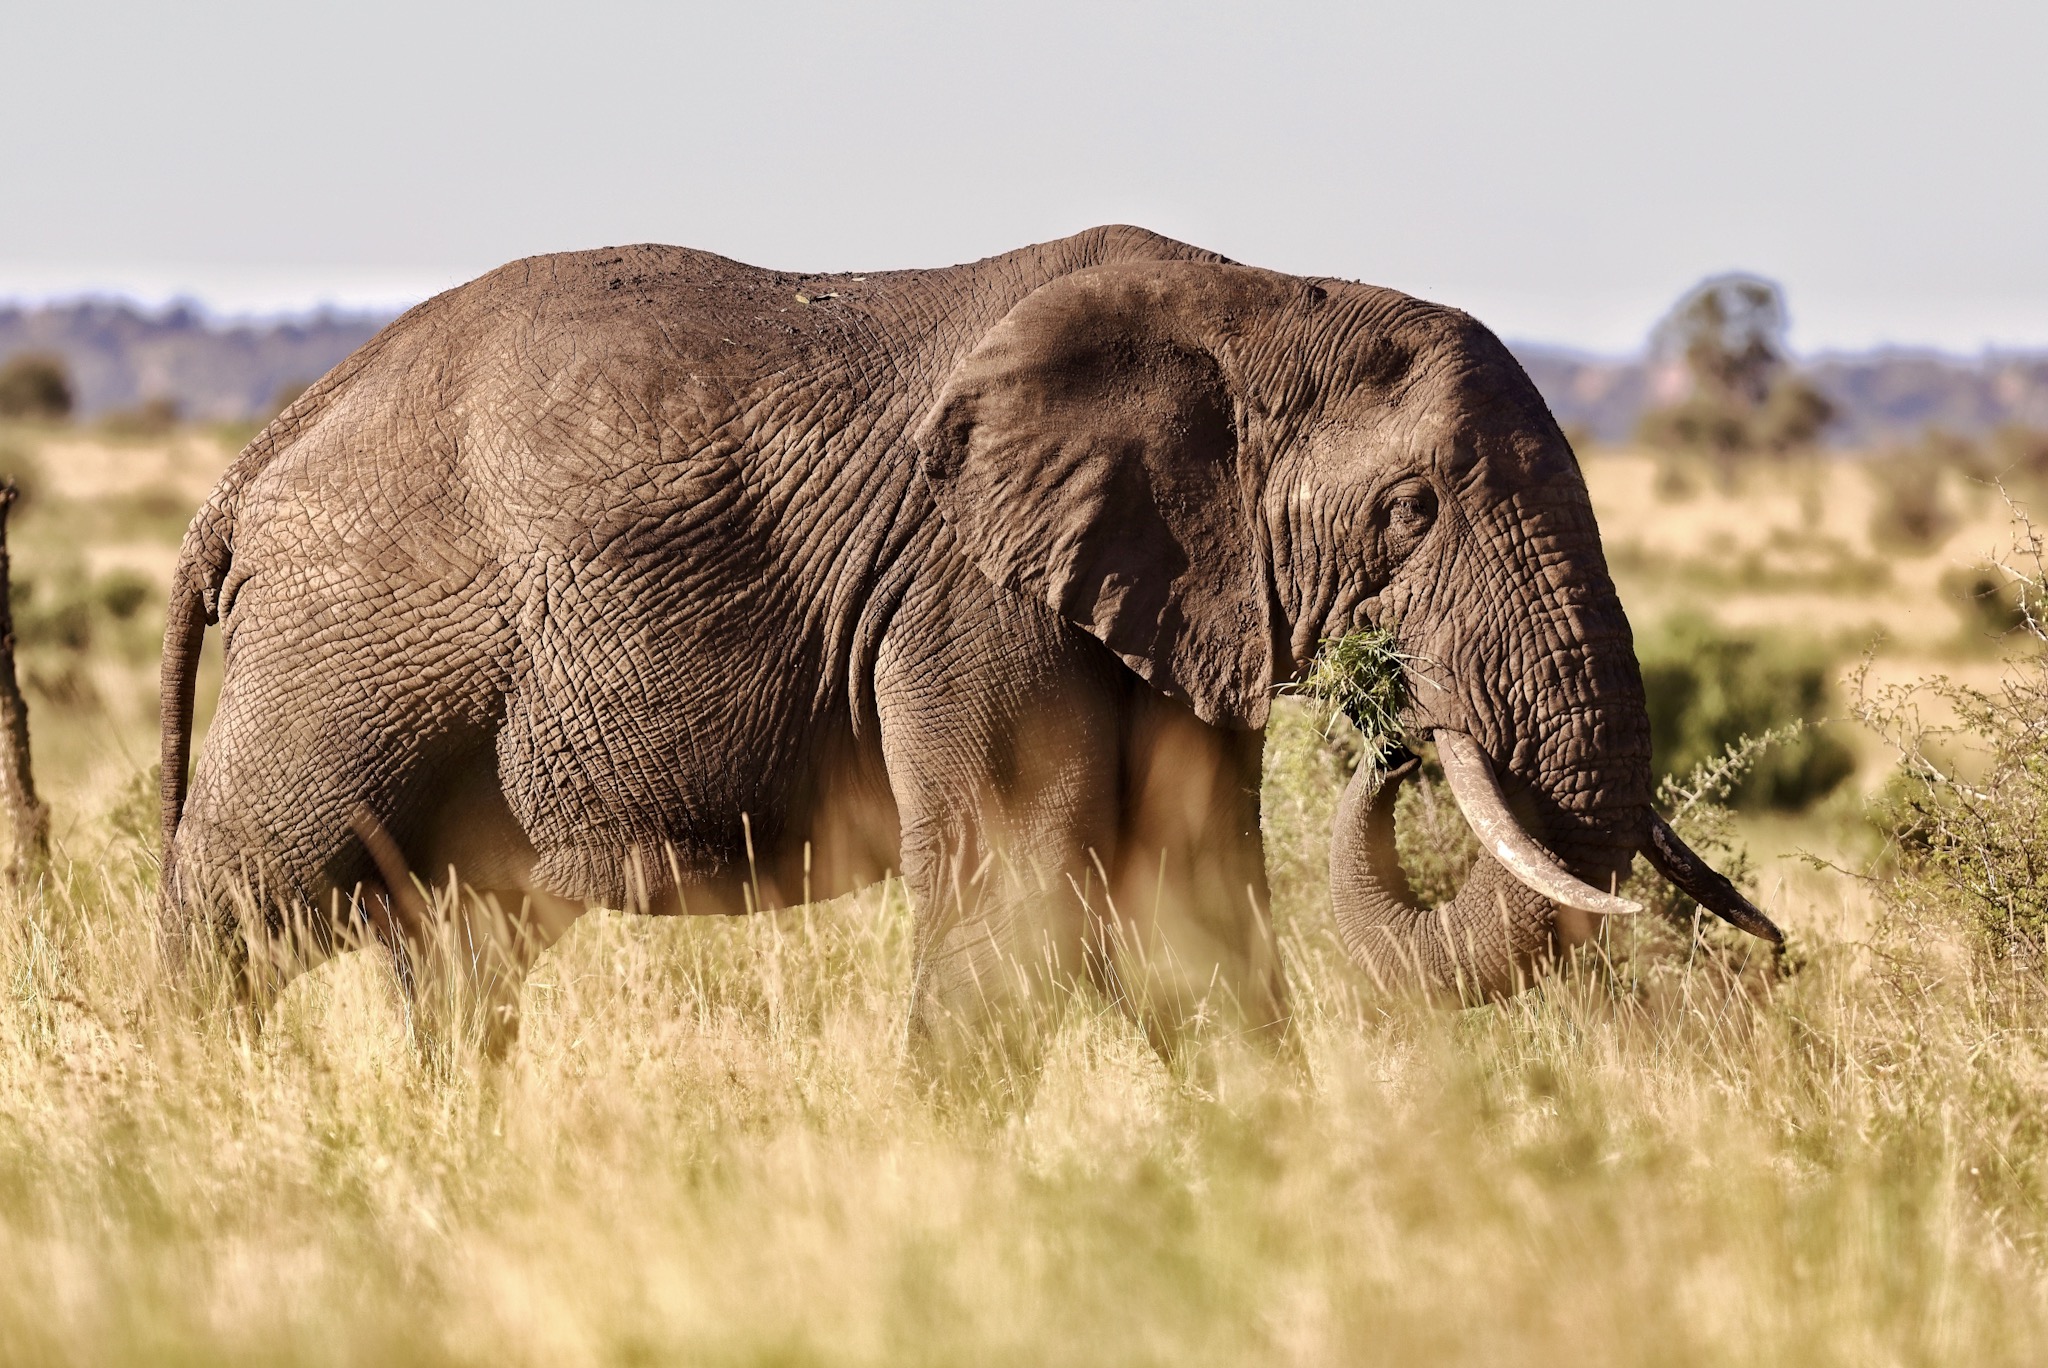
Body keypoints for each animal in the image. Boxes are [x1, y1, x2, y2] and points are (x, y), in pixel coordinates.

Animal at [158, 224, 1776, 1058]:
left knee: (456, 953)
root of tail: (258, 456)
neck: (1255, 301)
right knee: (243, 901)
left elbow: (1192, 914)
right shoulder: (969, 591)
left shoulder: (1166, 599)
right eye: (1407, 509)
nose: (1401, 729)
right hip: (346, 647)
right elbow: (1019, 897)